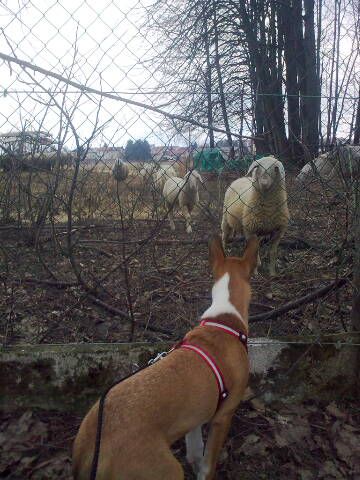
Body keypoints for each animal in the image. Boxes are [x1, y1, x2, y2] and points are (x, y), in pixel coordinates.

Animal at [72, 236, 258, 480]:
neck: (224, 318)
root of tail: (87, 451)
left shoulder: (195, 417)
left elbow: (195, 452)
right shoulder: (222, 417)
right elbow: (208, 466)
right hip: (167, 470)